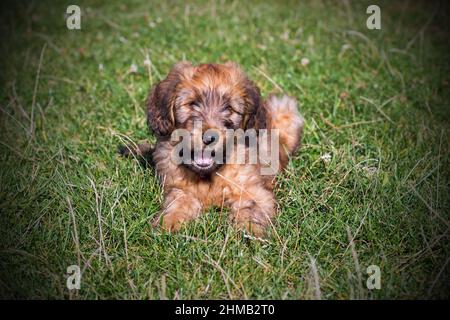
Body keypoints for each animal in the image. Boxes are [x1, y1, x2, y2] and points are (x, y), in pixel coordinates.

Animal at [121, 62, 304, 238]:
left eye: (229, 108)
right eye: (192, 104)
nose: (209, 138)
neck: (208, 176)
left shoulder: (252, 190)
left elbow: (251, 209)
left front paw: (250, 232)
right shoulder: (179, 188)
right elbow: (177, 204)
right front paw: (168, 224)